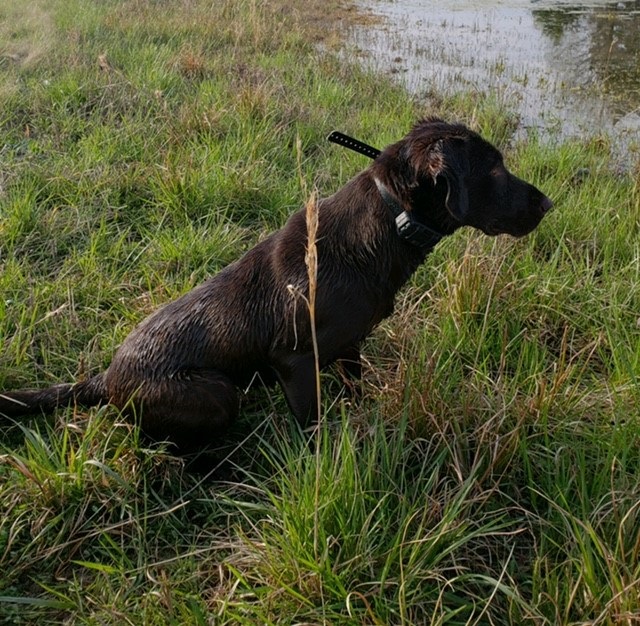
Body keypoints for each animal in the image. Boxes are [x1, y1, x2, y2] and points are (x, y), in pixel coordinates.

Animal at [0, 117, 552, 448]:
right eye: (495, 168)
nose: (548, 204)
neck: (390, 222)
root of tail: (105, 379)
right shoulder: (295, 359)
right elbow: (312, 424)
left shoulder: (350, 346)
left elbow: (356, 389)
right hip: (218, 392)